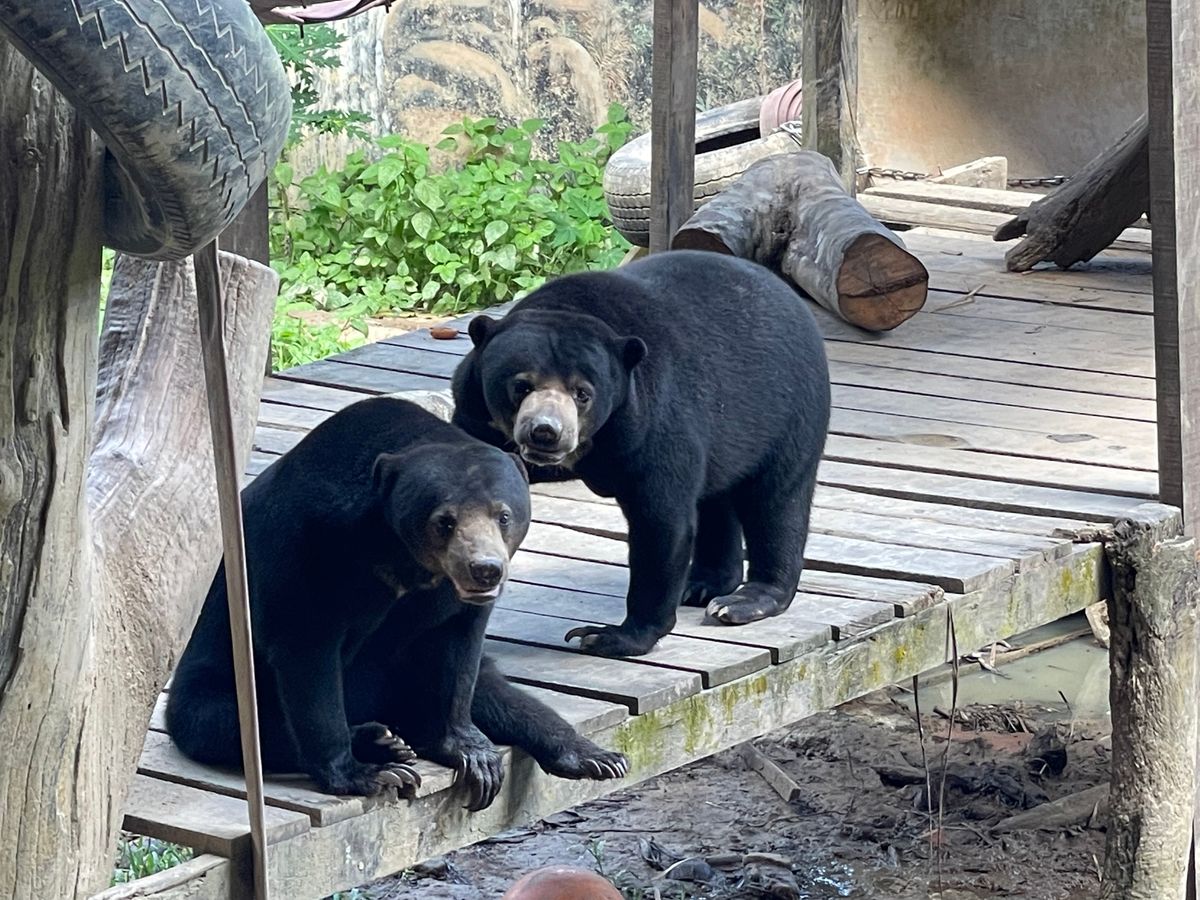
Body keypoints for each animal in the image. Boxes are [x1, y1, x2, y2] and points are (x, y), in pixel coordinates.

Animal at [167, 397, 627, 810]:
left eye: (504, 515)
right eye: (444, 522)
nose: (485, 570)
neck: (400, 557)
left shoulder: (452, 605)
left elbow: (461, 651)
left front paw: (471, 752)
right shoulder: (302, 553)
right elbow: (306, 653)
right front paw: (360, 773)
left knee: (498, 693)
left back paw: (593, 756)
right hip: (211, 682)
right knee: (221, 723)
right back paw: (381, 742)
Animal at [451, 249, 831, 659]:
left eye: (583, 393)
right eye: (521, 386)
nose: (545, 433)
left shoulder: (653, 419)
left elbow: (660, 523)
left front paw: (610, 636)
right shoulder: (474, 416)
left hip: (788, 410)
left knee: (776, 501)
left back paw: (745, 599)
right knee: (717, 498)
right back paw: (703, 583)